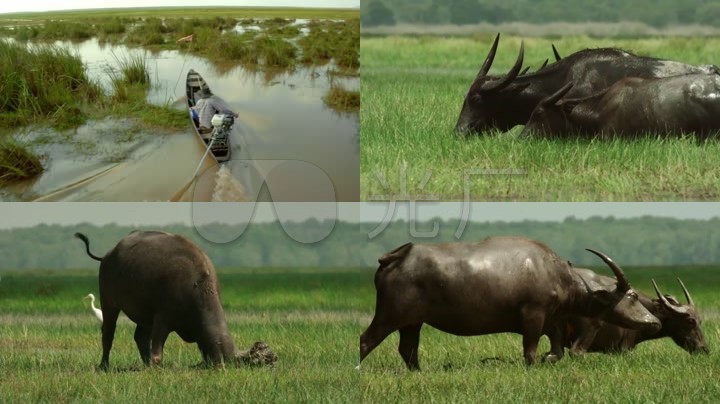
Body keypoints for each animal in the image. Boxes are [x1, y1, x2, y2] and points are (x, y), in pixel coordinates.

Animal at [358, 237, 660, 372]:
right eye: (632, 296)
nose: (654, 321)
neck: (556, 275)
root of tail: (392, 258)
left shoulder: (553, 321)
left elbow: (557, 349)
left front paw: (550, 358)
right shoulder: (533, 318)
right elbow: (530, 350)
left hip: (412, 322)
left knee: (408, 348)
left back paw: (419, 372)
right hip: (389, 316)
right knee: (366, 340)